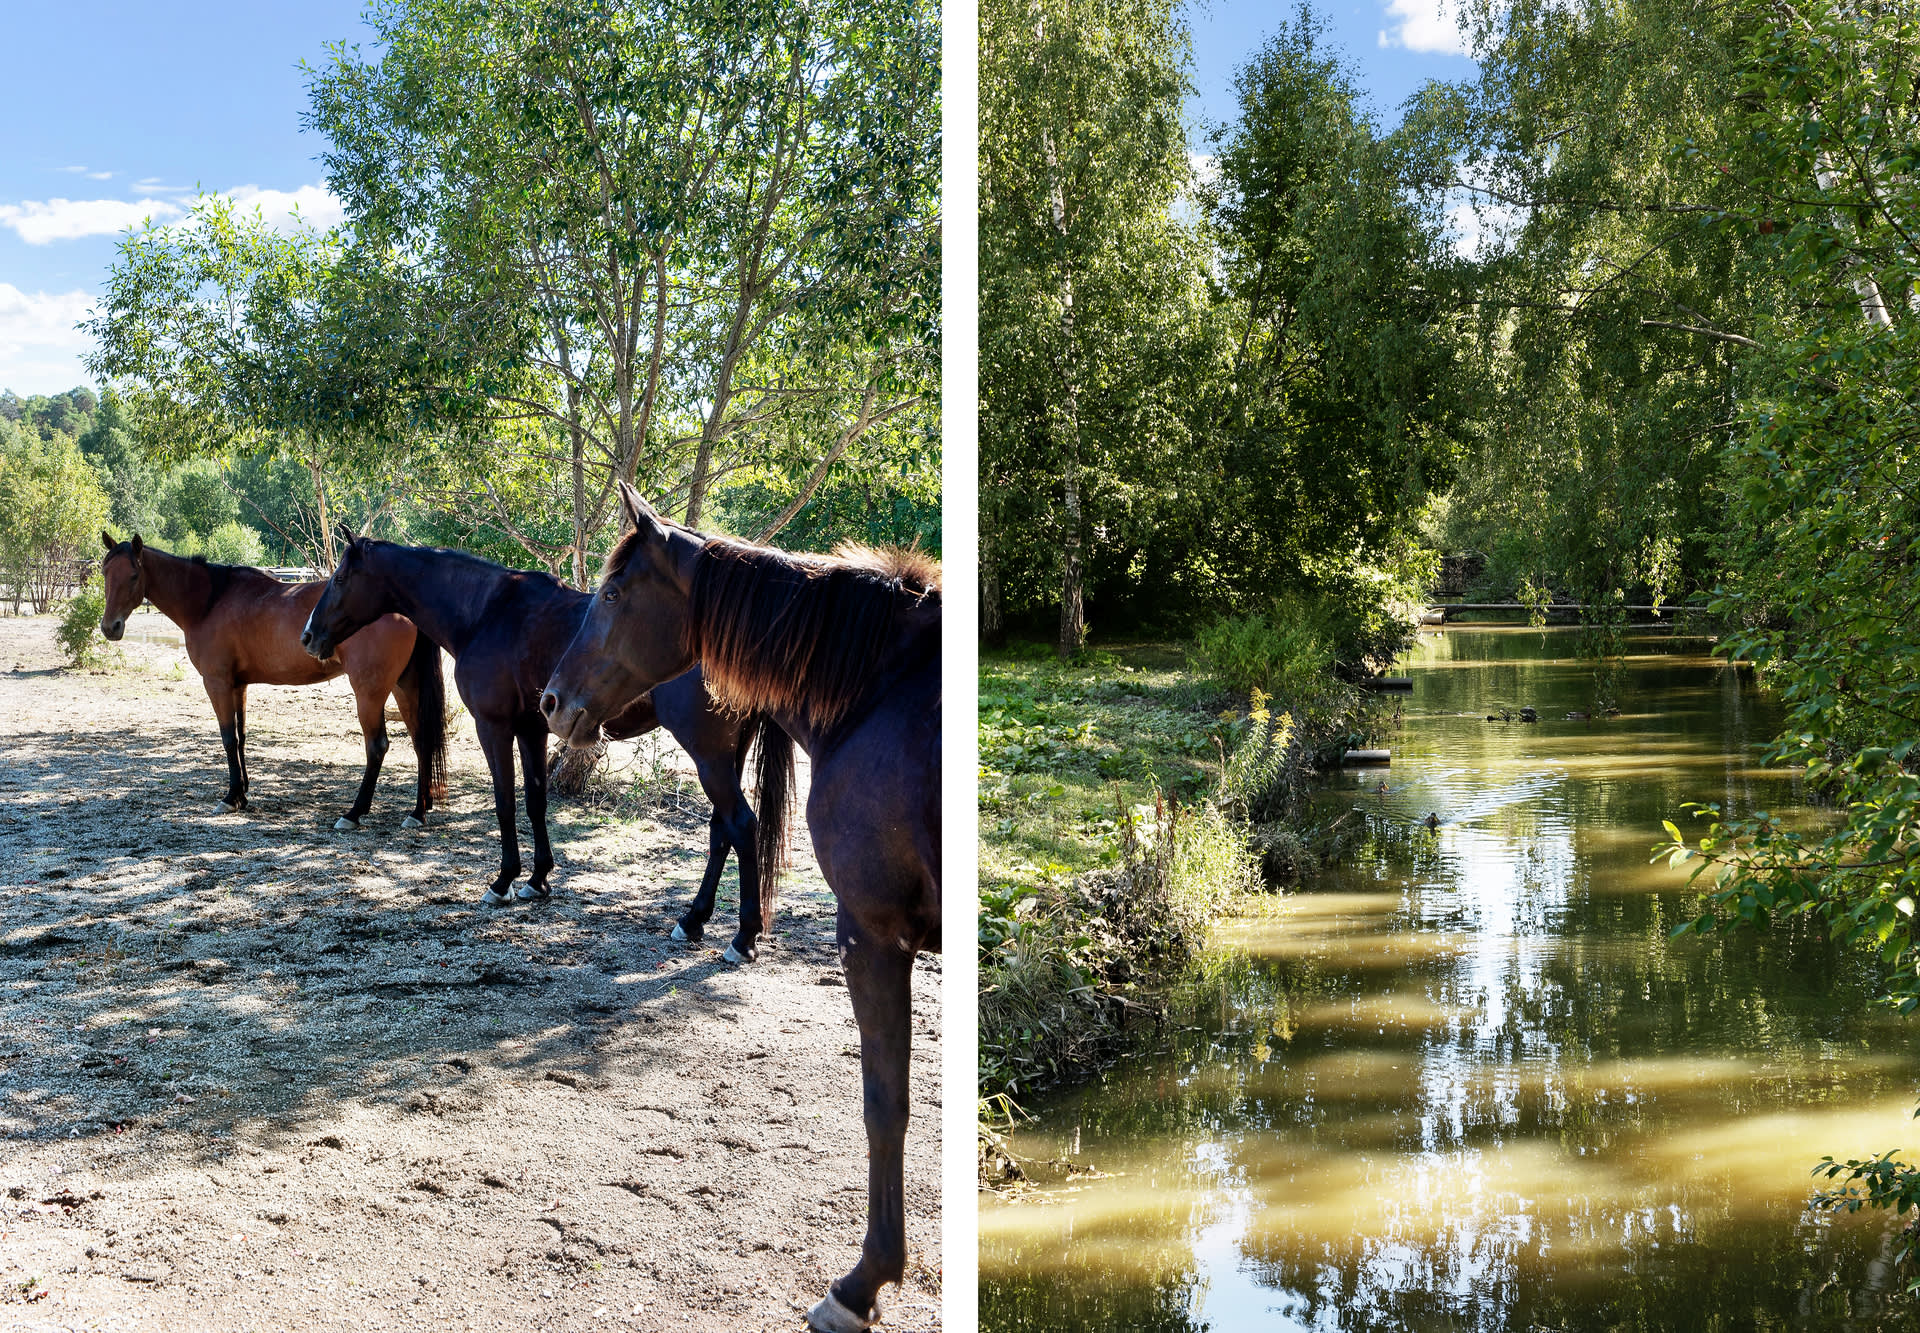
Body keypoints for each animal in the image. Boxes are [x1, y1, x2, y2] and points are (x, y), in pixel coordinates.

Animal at [102, 533, 445, 829]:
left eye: (133, 576)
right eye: (105, 573)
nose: (110, 628)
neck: (209, 601)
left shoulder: (217, 683)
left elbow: (228, 738)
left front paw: (230, 797)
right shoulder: (238, 685)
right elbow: (241, 737)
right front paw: (242, 793)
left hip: (370, 693)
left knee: (377, 747)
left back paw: (354, 813)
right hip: (404, 687)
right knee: (421, 741)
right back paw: (418, 810)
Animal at [299, 533, 779, 960]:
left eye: (341, 578)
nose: (308, 636)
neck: (487, 614)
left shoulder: (493, 727)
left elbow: (505, 803)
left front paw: (503, 882)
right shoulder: (532, 730)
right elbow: (534, 800)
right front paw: (538, 879)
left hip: (708, 755)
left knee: (741, 825)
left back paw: (743, 938)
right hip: (726, 757)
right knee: (721, 829)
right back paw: (693, 920)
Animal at [537, 487, 940, 1333]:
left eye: (613, 594)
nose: (550, 700)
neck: (880, 686)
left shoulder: (873, 933)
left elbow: (884, 1105)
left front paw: (860, 1283)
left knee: (735, 820)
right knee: (733, 822)